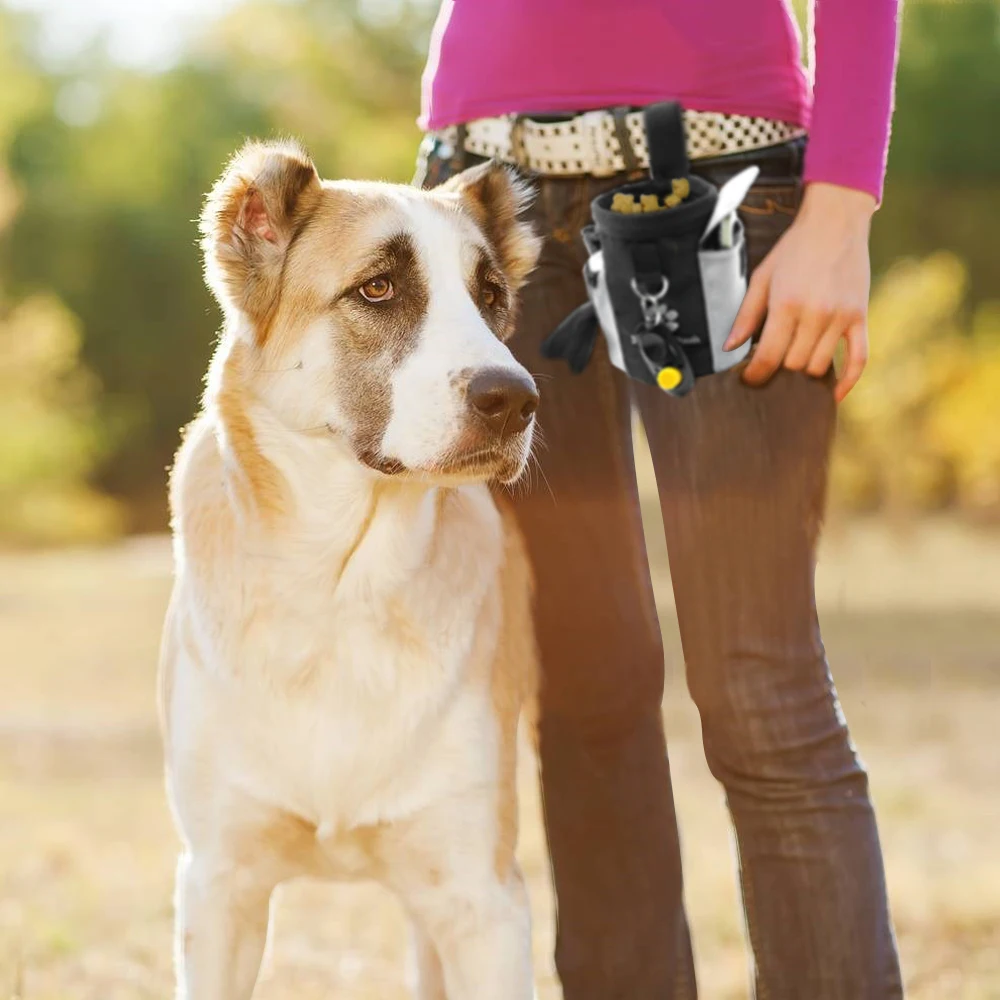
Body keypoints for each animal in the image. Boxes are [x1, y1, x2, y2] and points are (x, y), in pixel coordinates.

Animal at [159, 143, 544, 1000]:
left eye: (491, 297)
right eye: (378, 288)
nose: (515, 400)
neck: (341, 590)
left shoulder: (483, 902)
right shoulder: (219, 889)